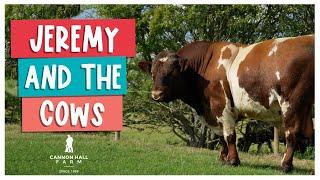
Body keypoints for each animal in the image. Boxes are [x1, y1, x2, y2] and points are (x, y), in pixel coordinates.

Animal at [139, 34, 314, 172]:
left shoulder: (221, 105)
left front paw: (233, 160)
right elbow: (221, 136)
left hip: (291, 104)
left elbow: (229, 135)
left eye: (171, 73)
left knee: (292, 134)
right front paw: (223, 158)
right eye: (152, 73)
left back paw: (285, 165)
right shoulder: (214, 112)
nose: (156, 94)